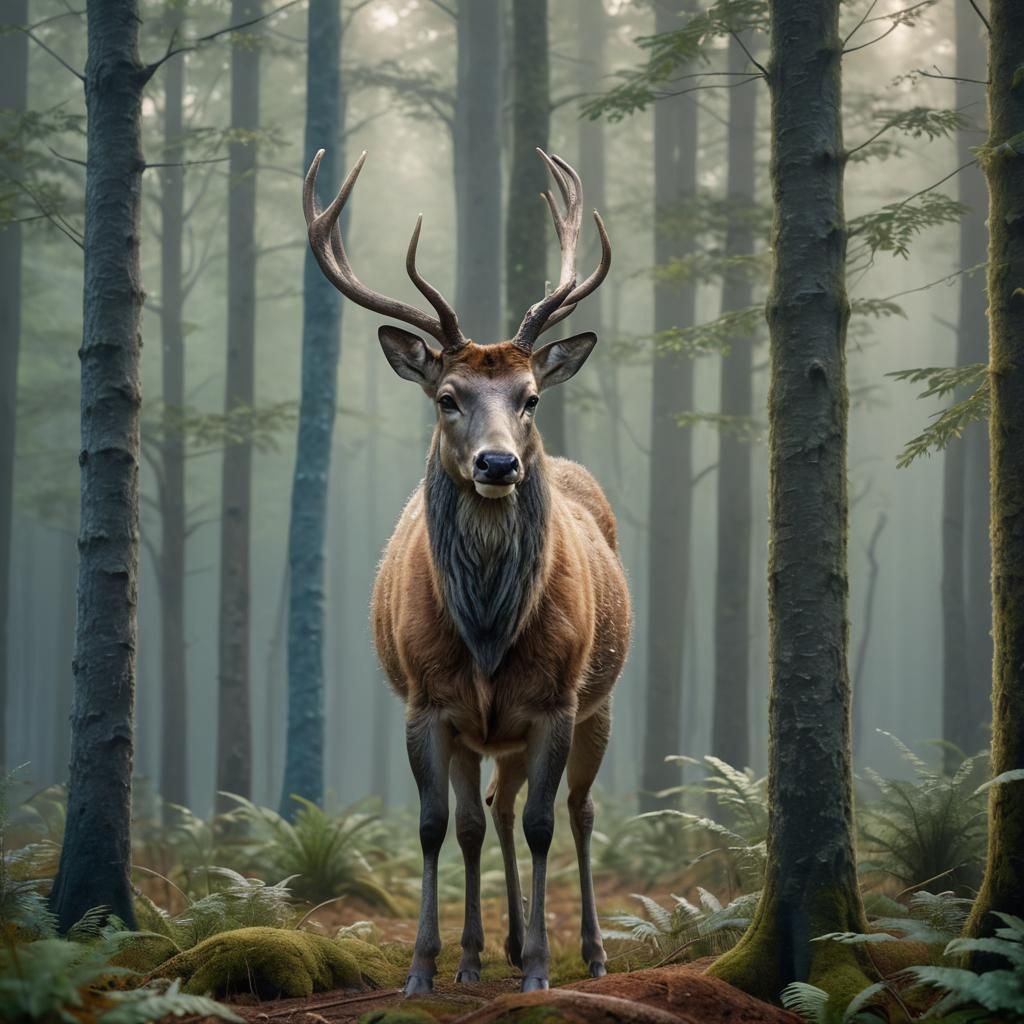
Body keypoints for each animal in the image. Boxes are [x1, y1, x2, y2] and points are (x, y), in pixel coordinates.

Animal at [303, 147, 631, 995]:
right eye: (447, 397)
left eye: (531, 396)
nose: (498, 464)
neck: (485, 635)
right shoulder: (429, 703)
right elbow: (434, 827)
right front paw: (428, 966)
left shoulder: (554, 700)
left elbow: (548, 823)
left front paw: (541, 968)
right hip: (486, 735)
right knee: (487, 812)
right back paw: (486, 950)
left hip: (597, 703)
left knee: (576, 813)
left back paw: (590, 949)